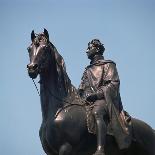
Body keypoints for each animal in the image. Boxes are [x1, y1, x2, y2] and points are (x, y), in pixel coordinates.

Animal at [27, 29, 155, 155]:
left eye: (45, 48)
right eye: (29, 48)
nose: (32, 68)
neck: (59, 109)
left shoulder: (65, 147)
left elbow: (111, 83)